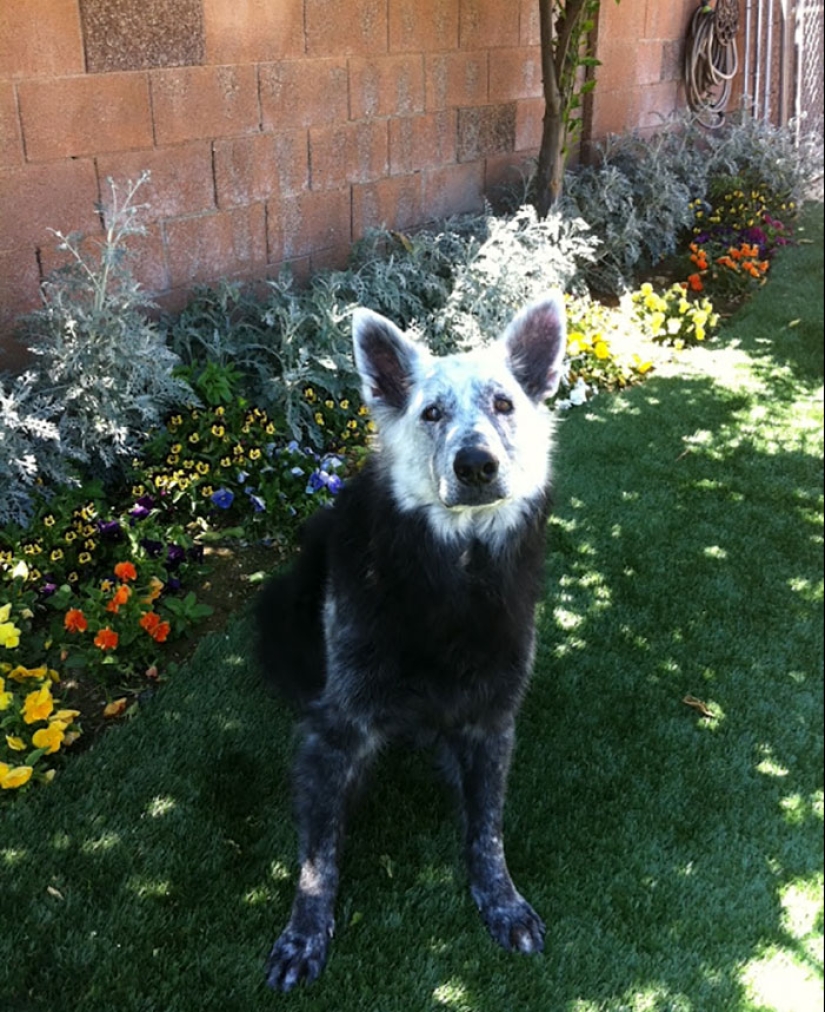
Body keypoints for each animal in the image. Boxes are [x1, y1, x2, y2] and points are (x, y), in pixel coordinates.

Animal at [258, 291, 566, 987]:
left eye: (504, 404)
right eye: (432, 412)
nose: (476, 465)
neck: (455, 579)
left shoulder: (490, 720)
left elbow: (487, 830)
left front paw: (501, 900)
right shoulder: (333, 729)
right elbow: (317, 858)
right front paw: (302, 935)